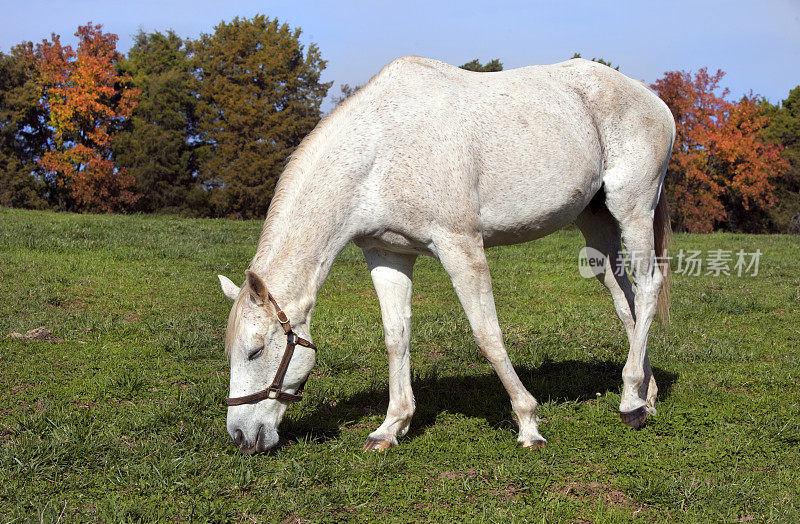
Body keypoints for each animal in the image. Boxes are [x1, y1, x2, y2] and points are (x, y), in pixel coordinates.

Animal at [216, 55, 672, 452]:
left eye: (255, 351)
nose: (240, 436)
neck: (381, 150)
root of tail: (652, 99)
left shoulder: (460, 246)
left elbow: (488, 335)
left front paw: (528, 424)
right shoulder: (386, 254)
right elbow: (396, 337)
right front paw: (390, 427)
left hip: (632, 208)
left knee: (648, 287)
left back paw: (631, 405)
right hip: (597, 225)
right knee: (626, 300)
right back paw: (644, 394)